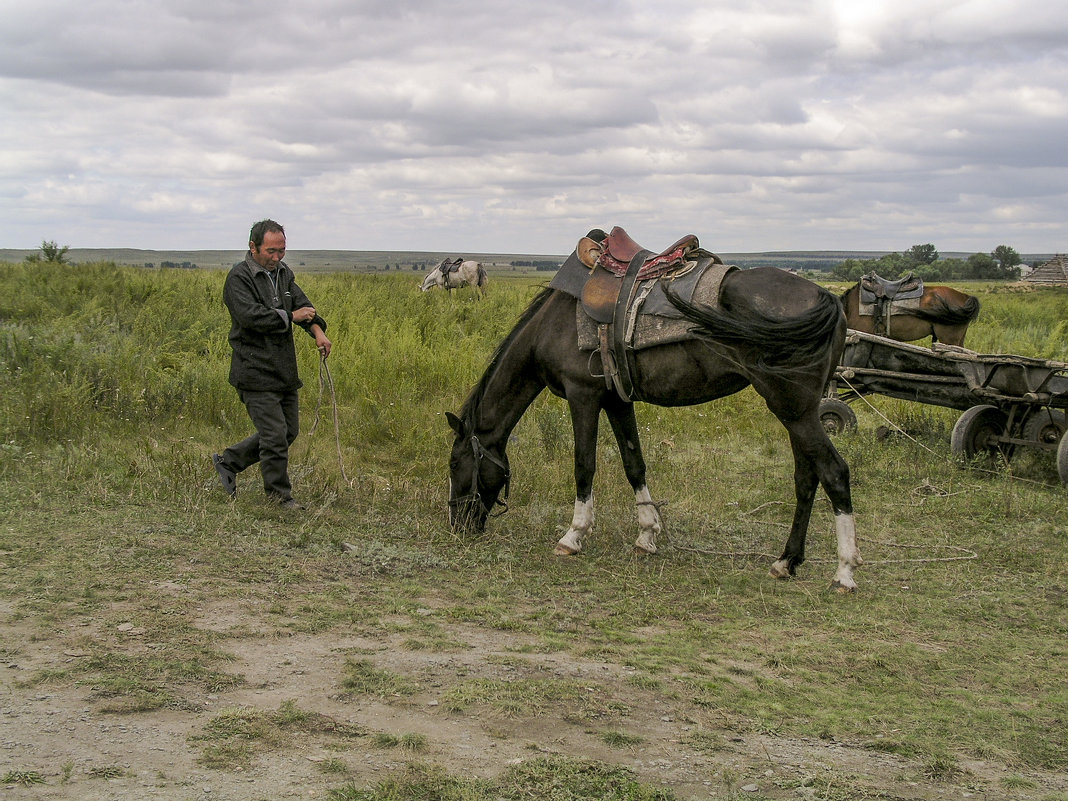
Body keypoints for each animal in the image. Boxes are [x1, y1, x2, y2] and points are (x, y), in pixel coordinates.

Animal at [446, 247, 862, 593]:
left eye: (454, 464)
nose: (457, 525)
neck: (551, 326)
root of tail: (827, 299)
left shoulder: (583, 396)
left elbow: (584, 466)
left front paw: (574, 535)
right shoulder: (616, 401)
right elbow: (634, 463)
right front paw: (647, 535)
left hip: (794, 409)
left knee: (834, 472)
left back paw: (843, 572)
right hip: (795, 412)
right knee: (806, 479)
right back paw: (786, 561)